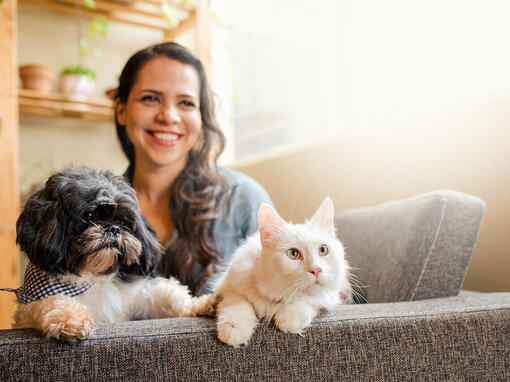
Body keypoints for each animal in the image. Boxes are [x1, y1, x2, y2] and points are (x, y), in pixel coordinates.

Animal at [2, 167, 213, 344]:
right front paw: (71, 321)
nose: (113, 229)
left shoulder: (135, 297)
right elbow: (53, 300)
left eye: (123, 221)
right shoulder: (32, 303)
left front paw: (203, 304)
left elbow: (168, 295)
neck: (93, 276)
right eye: (90, 216)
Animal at [212, 197, 350, 346]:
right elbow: (237, 303)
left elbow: (308, 299)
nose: (316, 270)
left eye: (323, 250)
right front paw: (234, 329)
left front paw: (289, 318)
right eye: (293, 253)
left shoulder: (330, 294)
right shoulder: (230, 288)